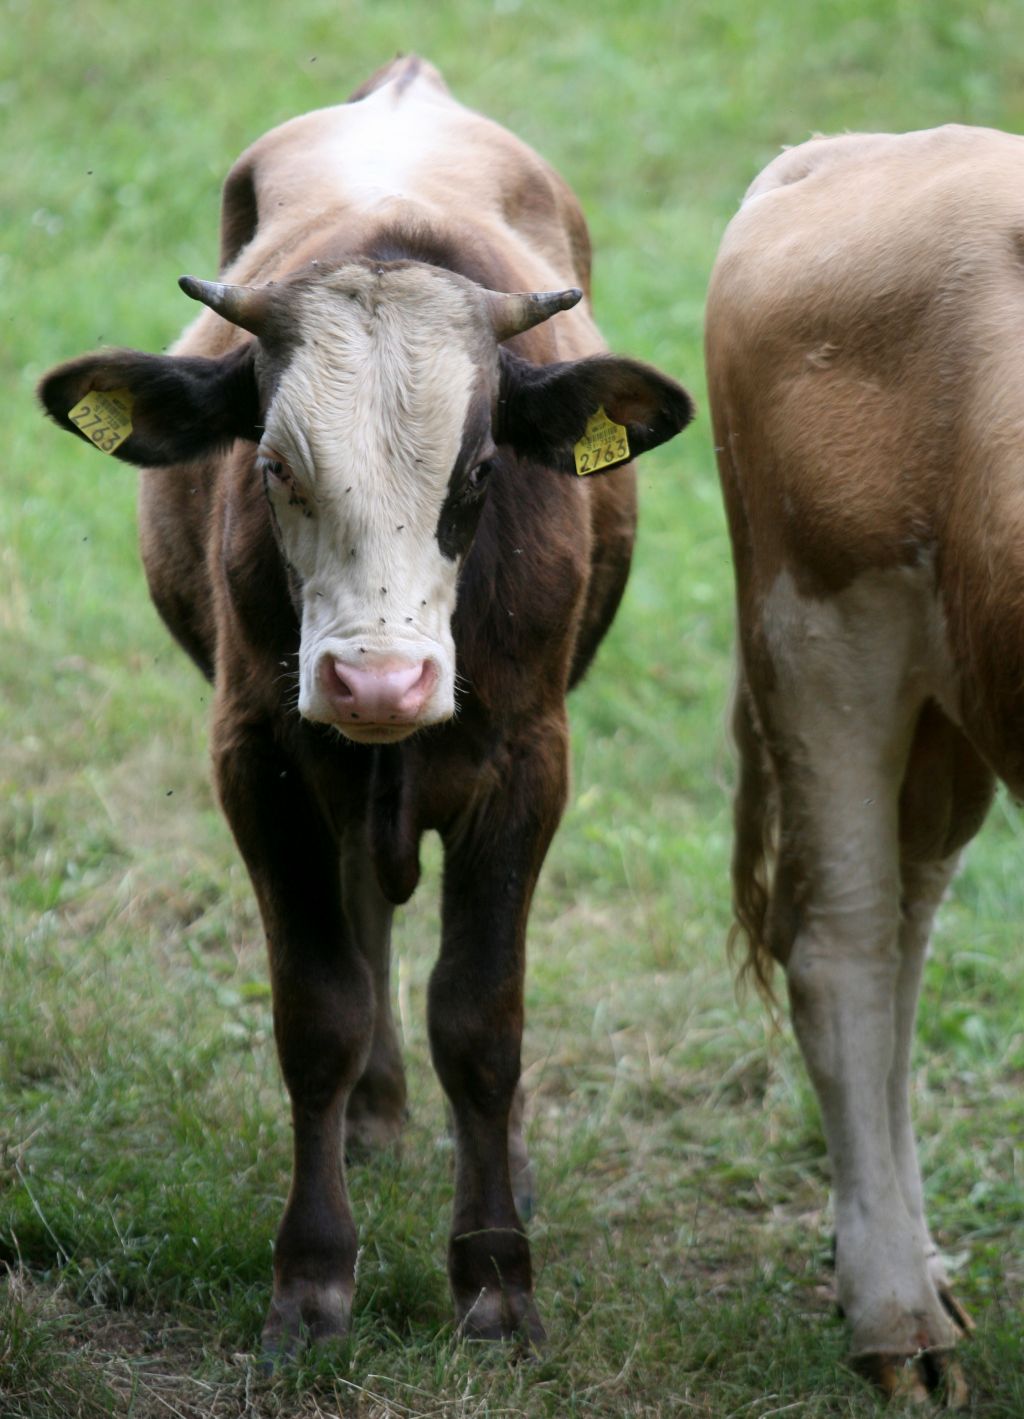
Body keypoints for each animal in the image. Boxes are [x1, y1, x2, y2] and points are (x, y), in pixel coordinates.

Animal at [39, 61, 694, 1356]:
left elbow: (482, 1019)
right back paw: (375, 1115)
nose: (380, 684)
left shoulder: (529, 766)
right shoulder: (261, 759)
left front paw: (495, 1276)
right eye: (274, 468)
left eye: (480, 471)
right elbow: (321, 1011)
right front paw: (312, 1275)